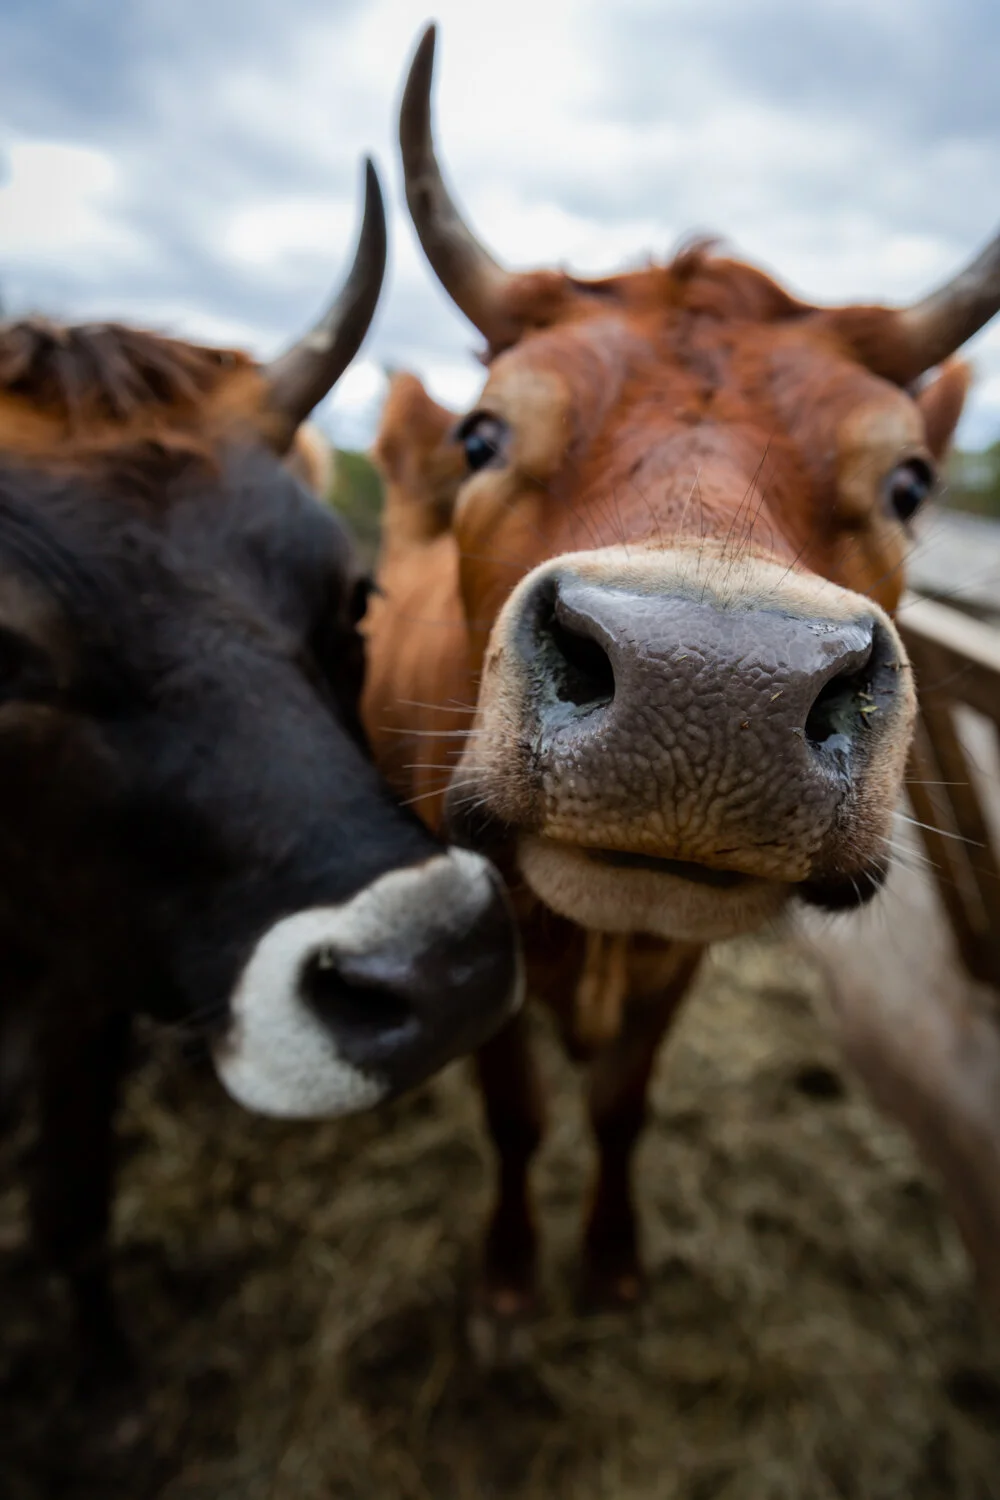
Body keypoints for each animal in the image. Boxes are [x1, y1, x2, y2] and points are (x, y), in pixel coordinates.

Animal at [362, 26, 1000, 1351]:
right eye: (484, 436)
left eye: (910, 480)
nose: (709, 693)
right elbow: (516, 1114)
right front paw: (508, 1280)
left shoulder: (679, 969)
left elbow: (620, 1107)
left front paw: (609, 1263)